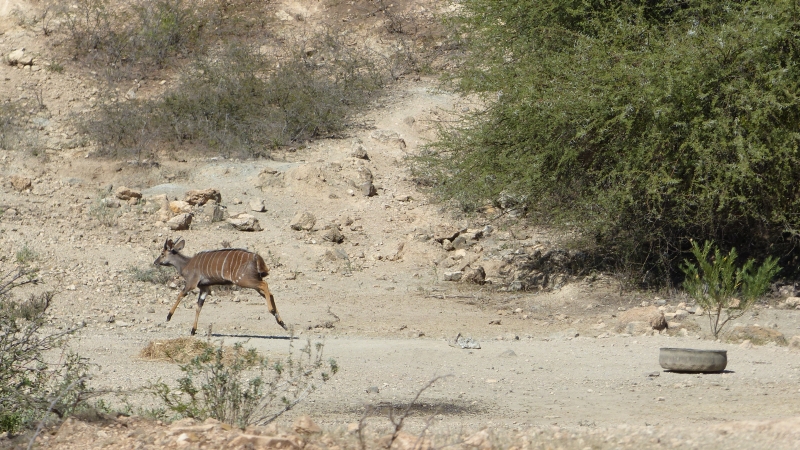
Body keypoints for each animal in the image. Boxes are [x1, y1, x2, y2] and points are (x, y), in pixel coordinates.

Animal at [154, 237, 288, 336]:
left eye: (162, 253)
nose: (155, 262)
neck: (186, 264)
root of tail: (256, 257)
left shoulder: (191, 284)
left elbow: (180, 295)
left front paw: (168, 317)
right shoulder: (204, 288)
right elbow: (198, 307)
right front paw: (193, 330)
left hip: (245, 280)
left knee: (265, 285)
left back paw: (272, 311)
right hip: (253, 281)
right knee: (270, 293)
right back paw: (282, 322)